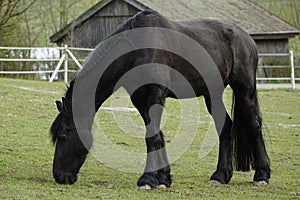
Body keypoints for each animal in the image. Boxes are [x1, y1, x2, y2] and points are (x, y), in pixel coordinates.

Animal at [49, 9, 270, 188]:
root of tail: (245, 37)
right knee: (224, 127)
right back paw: (220, 175)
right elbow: (156, 136)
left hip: (245, 89)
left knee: (254, 124)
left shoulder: (154, 96)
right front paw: (163, 178)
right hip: (212, 93)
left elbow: (152, 136)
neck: (136, 49)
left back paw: (262, 175)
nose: (59, 176)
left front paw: (147, 180)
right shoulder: (140, 100)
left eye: (64, 134)